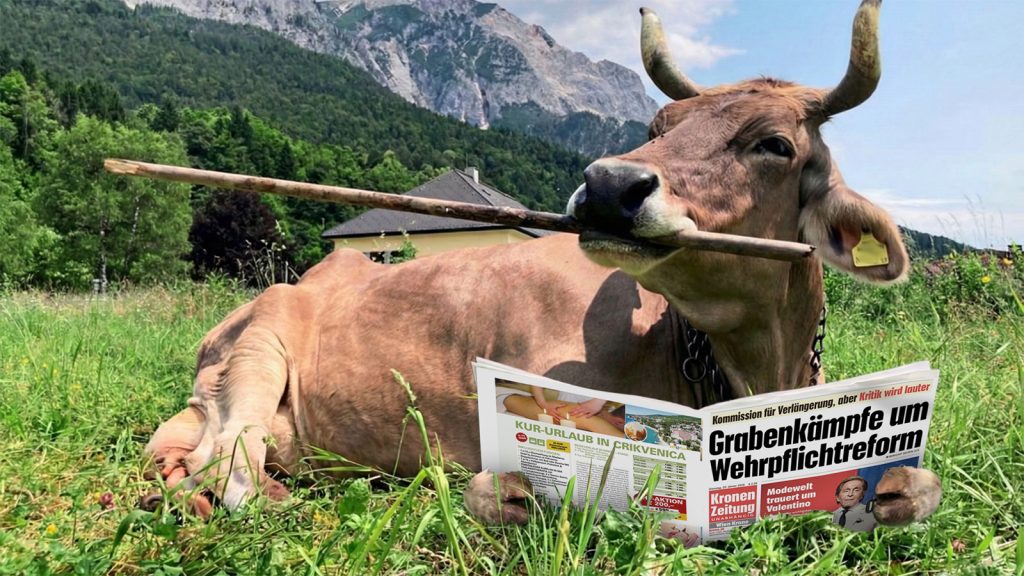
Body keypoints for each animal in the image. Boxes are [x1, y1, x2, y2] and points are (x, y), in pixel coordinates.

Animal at [142, 0, 940, 529]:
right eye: (659, 125)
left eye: (775, 144)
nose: (609, 185)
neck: (744, 366)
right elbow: (501, 492)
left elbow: (919, 485)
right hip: (260, 349)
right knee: (230, 468)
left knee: (186, 456)